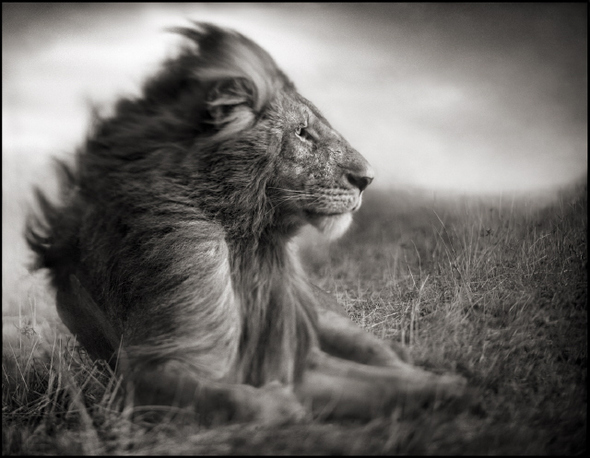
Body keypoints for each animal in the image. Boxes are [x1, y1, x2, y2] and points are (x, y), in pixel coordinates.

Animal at [27, 20, 470, 422]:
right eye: (302, 133)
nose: (368, 179)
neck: (248, 242)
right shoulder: (144, 370)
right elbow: (229, 398)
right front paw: (280, 406)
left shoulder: (297, 356)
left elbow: (389, 383)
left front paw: (451, 388)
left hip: (327, 319)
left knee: (384, 353)